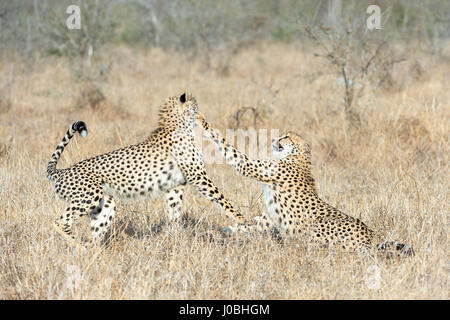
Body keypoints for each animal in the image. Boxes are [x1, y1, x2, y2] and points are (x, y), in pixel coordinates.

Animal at [46, 93, 246, 245]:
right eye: (195, 107)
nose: (201, 116)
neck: (178, 124)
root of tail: (60, 171)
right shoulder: (198, 176)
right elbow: (222, 199)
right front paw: (242, 220)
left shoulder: (175, 186)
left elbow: (175, 212)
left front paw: (175, 237)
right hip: (87, 197)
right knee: (58, 222)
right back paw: (78, 244)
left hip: (106, 203)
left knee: (95, 231)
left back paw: (92, 252)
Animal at [197, 113, 414, 258]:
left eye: (286, 137)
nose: (275, 138)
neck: (298, 156)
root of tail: (371, 236)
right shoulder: (267, 217)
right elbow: (246, 224)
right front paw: (215, 233)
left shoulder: (250, 167)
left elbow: (229, 148)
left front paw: (201, 121)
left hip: (321, 225)